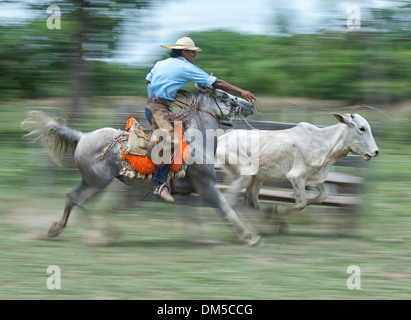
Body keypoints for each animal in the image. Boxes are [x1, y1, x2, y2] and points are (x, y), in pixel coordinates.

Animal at [21, 85, 260, 245]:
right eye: (224, 96)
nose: (249, 105)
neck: (196, 141)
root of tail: (82, 136)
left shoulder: (190, 191)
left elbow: (192, 215)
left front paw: (200, 239)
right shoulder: (206, 186)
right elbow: (225, 208)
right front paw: (250, 236)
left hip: (90, 181)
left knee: (72, 198)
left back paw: (56, 229)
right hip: (98, 183)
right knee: (81, 202)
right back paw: (100, 235)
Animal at [217, 112, 382, 220]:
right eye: (362, 128)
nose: (375, 152)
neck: (325, 143)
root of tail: (222, 138)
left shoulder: (313, 178)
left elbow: (322, 196)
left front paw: (274, 210)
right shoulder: (296, 177)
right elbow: (301, 202)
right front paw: (277, 209)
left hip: (256, 179)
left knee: (250, 201)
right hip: (245, 176)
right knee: (230, 198)